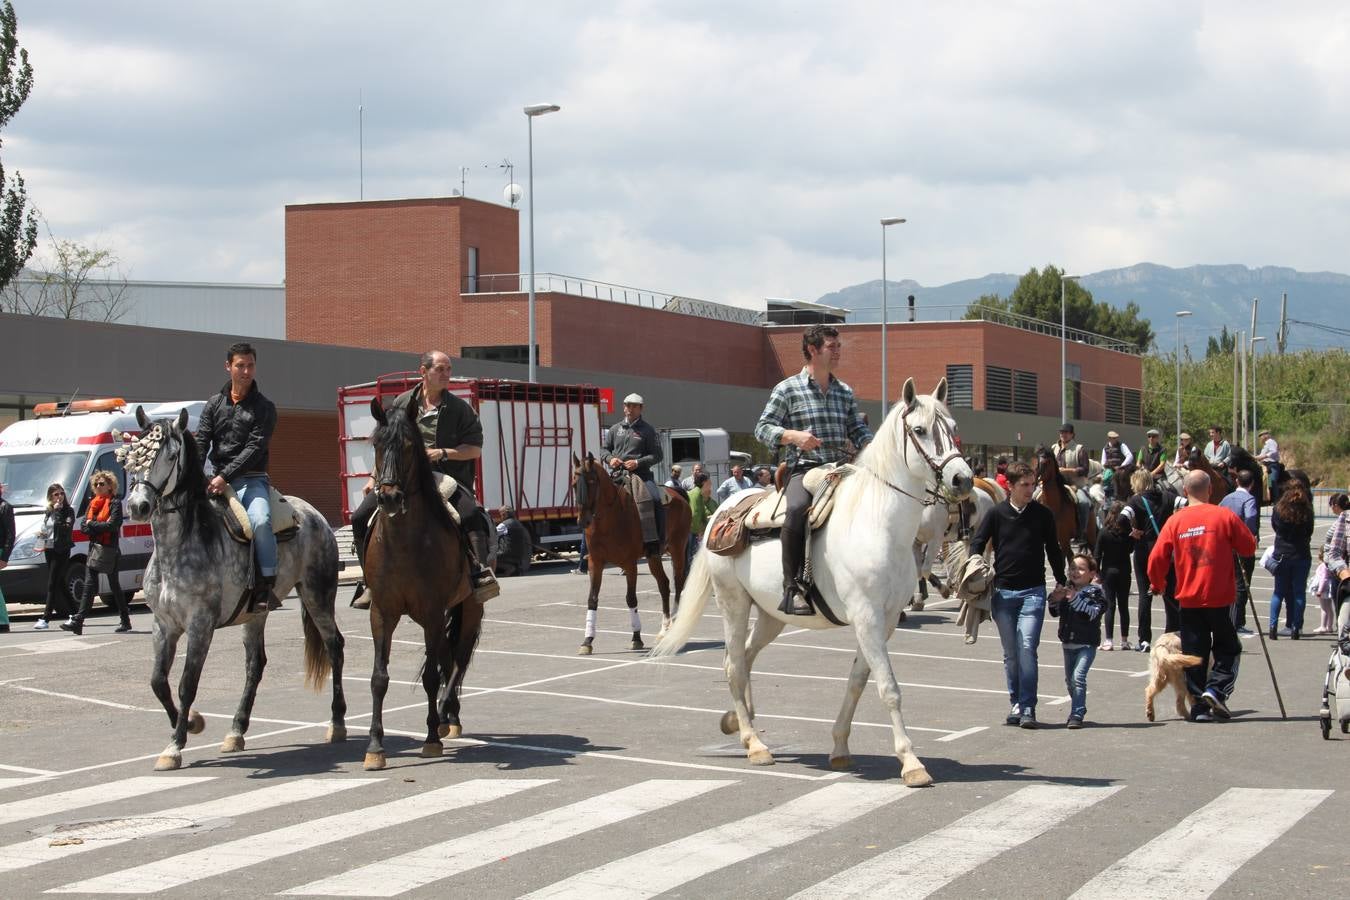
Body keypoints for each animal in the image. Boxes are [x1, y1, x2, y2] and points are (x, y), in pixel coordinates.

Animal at [361, 396, 483, 771]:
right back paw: (447, 717)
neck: (403, 543)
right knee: (446, 654)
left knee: (456, 658)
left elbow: (431, 675)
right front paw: (375, 747)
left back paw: (446, 717)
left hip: (469, 607)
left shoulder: (431, 610)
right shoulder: (382, 612)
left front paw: (430, 740)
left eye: (408, 446)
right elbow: (379, 678)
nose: (388, 497)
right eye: (376, 444)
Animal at [572, 458, 696, 655]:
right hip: (654, 556)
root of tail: (677, 493)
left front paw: (636, 638)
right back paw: (664, 629)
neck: (609, 518)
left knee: (678, 582)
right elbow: (592, 599)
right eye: (575, 484)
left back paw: (673, 627)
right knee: (664, 585)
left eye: (591, 482)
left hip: (677, 549)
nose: (583, 521)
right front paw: (587, 641)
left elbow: (631, 598)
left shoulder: (630, 564)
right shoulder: (595, 563)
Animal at [650, 377, 972, 782]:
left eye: (954, 428)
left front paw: (839, 747)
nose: (962, 479)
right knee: (735, 665)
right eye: (919, 430)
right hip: (733, 603)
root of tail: (722, 512)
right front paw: (911, 763)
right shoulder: (866, 616)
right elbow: (888, 687)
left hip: (771, 615)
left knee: (744, 657)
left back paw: (738, 723)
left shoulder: (882, 623)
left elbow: (858, 681)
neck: (877, 523)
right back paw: (755, 744)